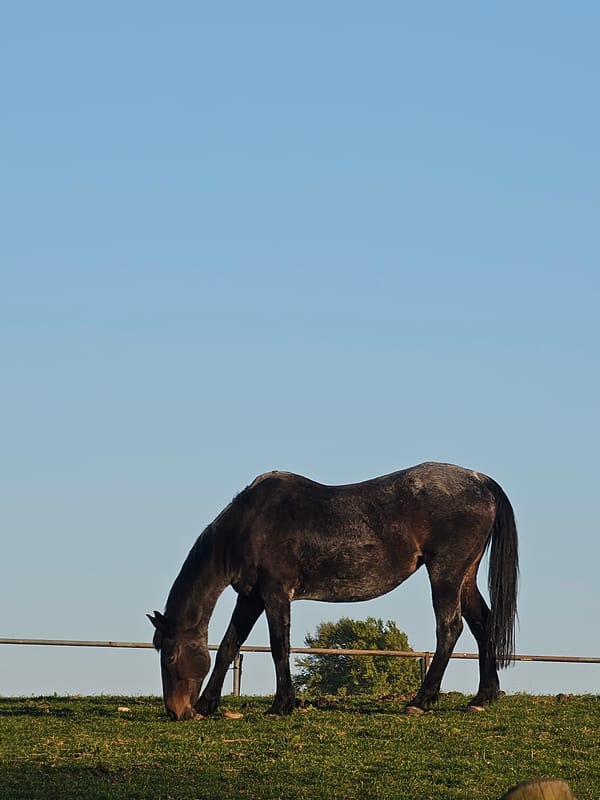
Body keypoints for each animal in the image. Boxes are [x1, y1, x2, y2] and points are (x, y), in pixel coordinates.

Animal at [148, 462, 518, 720]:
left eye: (169, 656)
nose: (176, 711)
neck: (250, 523)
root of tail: (482, 481)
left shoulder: (275, 594)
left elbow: (279, 647)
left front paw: (282, 704)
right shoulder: (250, 597)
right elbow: (229, 645)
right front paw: (208, 704)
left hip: (445, 574)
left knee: (450, 629)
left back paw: (421, 700)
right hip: (464, 577)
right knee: (483, 625)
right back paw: (482, 697)